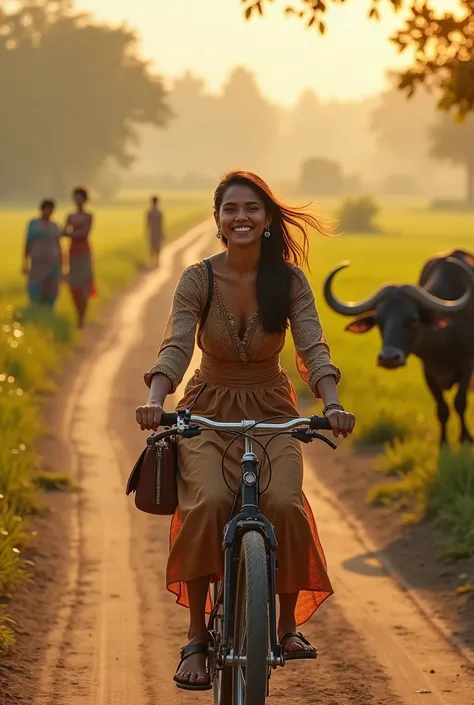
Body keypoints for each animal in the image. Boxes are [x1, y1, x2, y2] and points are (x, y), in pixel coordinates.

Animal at [322, 250, 474, 442]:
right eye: (379, 321)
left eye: (413, 319)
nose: (388, 358)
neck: (444, 342)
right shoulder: (428, 370)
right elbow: (442, 408)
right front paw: (443, 441)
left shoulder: (467, 363)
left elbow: (460, 402)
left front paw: (465, 437)